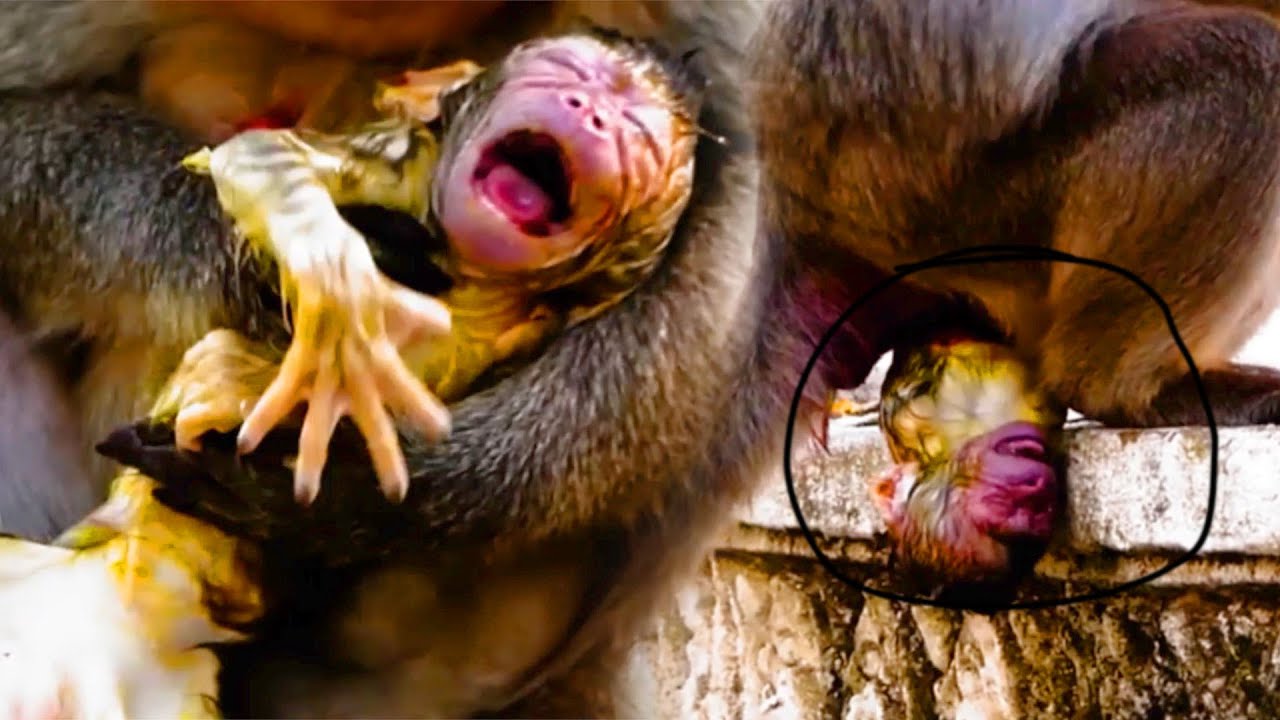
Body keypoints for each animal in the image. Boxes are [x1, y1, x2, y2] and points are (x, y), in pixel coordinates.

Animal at [0, 1, 769, 716]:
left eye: (638, 128)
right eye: (569, 77)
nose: (595, 114)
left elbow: (725, 226)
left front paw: (377, 493)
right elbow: (21, 115)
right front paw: (251, 253)